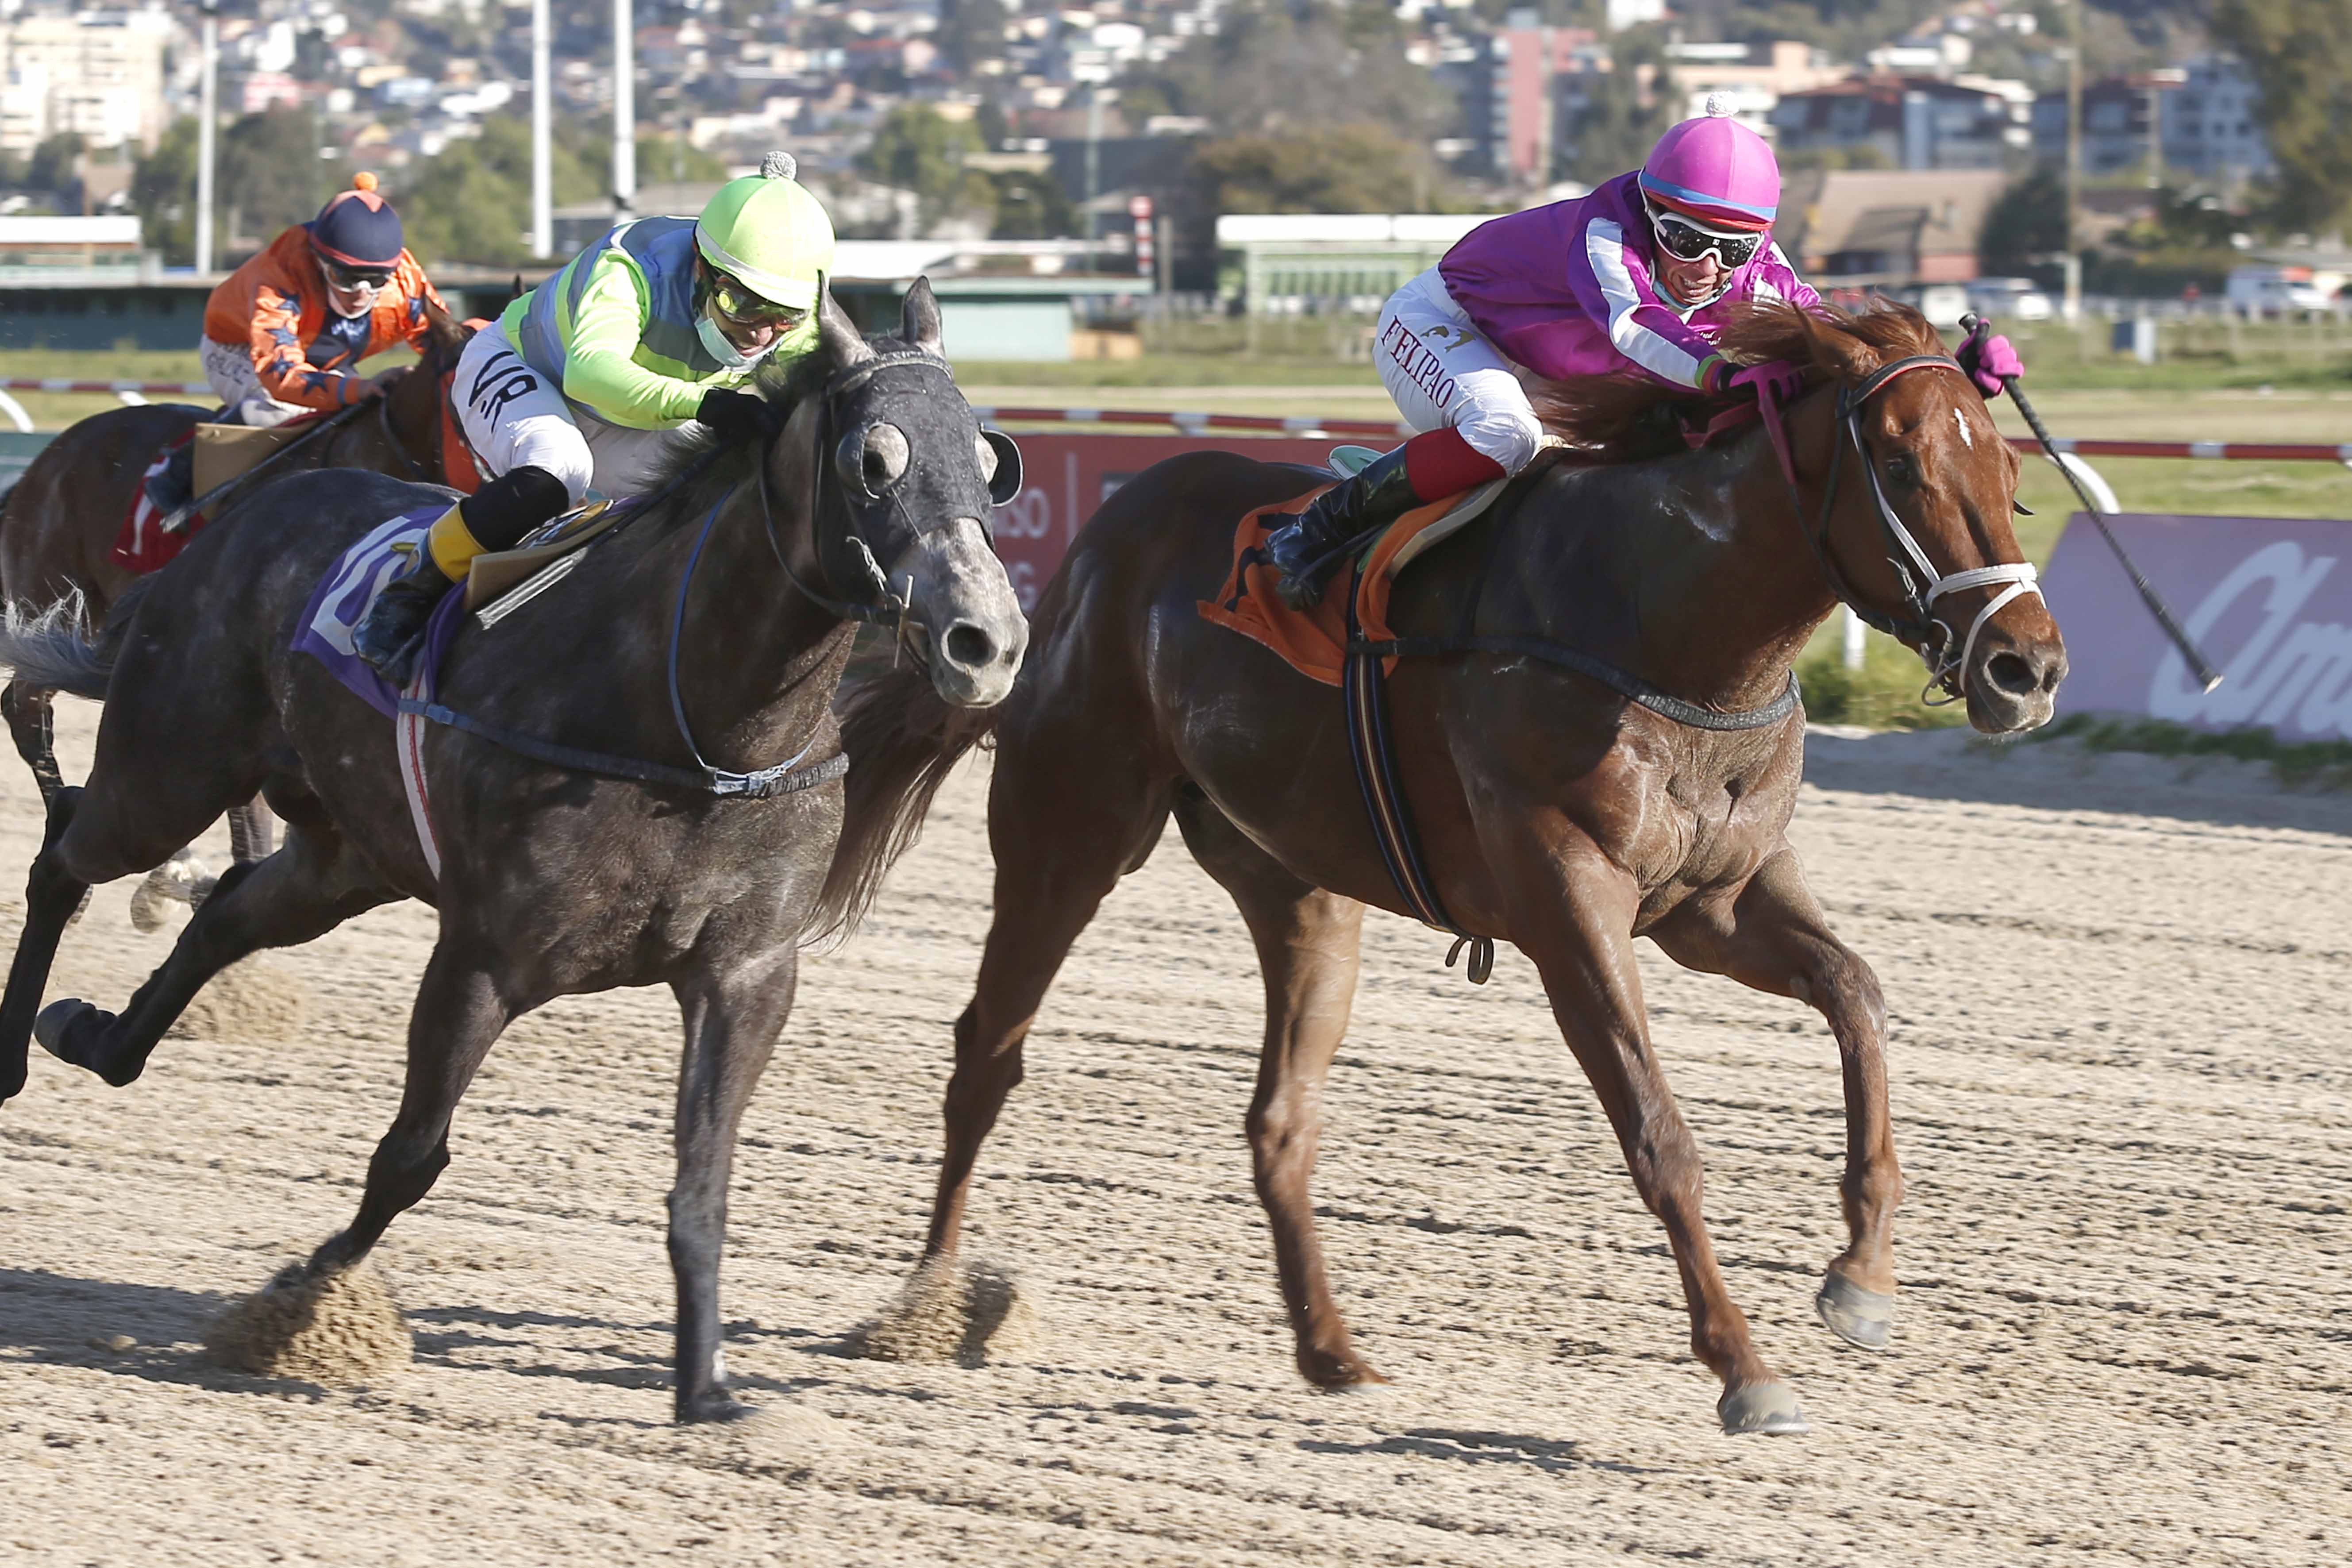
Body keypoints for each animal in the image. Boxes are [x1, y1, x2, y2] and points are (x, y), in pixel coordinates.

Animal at [825, 301, 2067, 1436]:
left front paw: (1860, 1279)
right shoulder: (1568, 902)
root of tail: (1093, 541)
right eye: (1901, 466)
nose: (2027, 667)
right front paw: (1744, 1368)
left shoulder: (1713, 901)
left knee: (1279, 1119)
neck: (1666, 628)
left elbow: (1857, 993)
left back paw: (1330, 1350)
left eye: (2009, 467)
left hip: (1301, 889)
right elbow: (1659, 1133)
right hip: (1067, 827)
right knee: (986, 1053)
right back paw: (927, 1306)